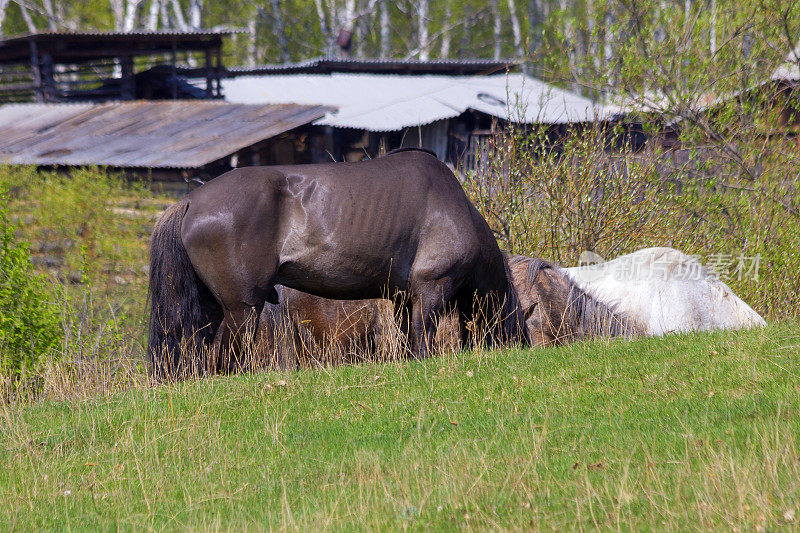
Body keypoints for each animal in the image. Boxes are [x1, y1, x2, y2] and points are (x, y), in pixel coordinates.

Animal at [147, 148, 528, 376]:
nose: (522, 350)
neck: (457, 210)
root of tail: (190, 202)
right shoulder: (430, 290)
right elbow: (422, 343)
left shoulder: (403, 299)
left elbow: (407, 342)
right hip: (242, 308)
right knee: (231, 356)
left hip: (213, 307)